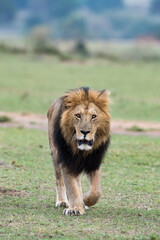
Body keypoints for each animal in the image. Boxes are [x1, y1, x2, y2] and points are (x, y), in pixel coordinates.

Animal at [47, 86, 110, 216]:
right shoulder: (66, 160)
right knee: (59, 180)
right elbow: (71, 187)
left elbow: (96, 191)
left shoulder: (93, 162)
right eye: (78, 115)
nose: (85, 132)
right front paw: (75, 208)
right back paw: (62, 201)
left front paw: (85, 200)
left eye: (93, 116)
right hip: (55, 154)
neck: (81, 151)